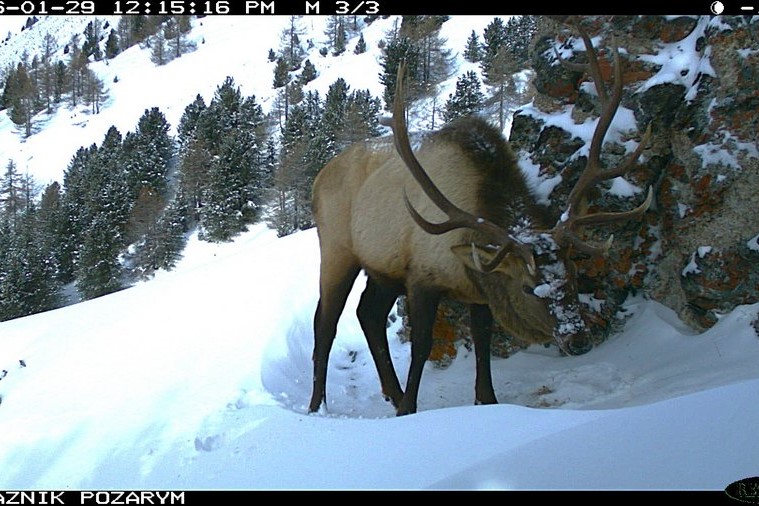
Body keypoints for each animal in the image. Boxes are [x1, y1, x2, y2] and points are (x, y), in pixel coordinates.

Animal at [308, 24, 652, 416]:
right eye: (529, 287)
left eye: (573, 274)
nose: (578, 338)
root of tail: (318, 180)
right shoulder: (422, 276)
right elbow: (422, 345)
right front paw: (409, 408)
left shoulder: (477, 288)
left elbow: (483, 341)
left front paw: (486, 399)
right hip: (338, 250)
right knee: (325, 323)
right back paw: (318, 405)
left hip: (382, 267)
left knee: (369, 314)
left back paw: (391, 392)